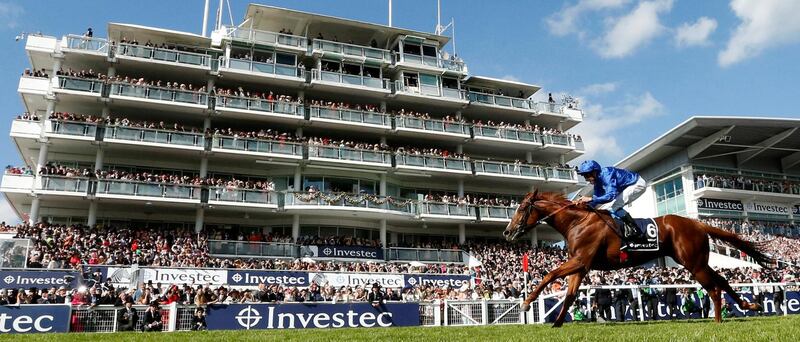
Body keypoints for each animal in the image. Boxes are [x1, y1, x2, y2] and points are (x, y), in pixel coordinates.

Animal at [504, 191, 772, 328]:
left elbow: (548, 275)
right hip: (698, 261)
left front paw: (526, 303)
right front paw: (557, 323)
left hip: (694, 263)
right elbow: (569, 295)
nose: (507, 232)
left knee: (714, 288)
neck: (577, 221)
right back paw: (749, 305)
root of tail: (697, 223)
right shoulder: (581, 266)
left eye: (521, 208)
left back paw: (717, 320)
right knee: (723, 281)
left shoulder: (580, 261)